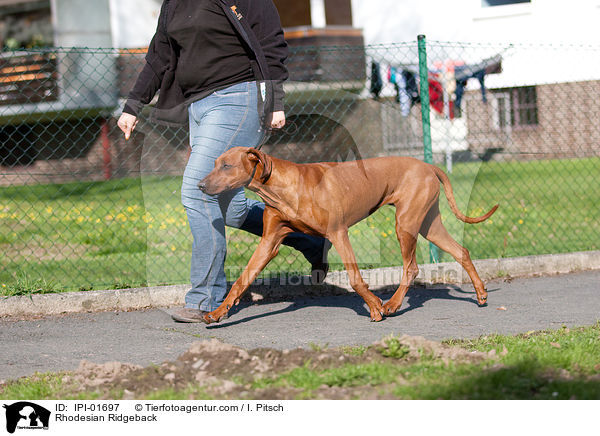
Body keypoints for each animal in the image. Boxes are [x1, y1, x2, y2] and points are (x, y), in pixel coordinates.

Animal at [197, 148, 496, 322]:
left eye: (226, 166)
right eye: (215, 163)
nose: (199, 185)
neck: (283, 187)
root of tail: (428, 166)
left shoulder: (338, 233)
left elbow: (355, 278)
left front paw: (375, 307)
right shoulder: (269, 242)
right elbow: (241, 280)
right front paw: (218, 312)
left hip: (406, 224)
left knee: (411, 267)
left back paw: (393, 304)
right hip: (427, 225)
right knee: (461, 251)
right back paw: (480, 294)